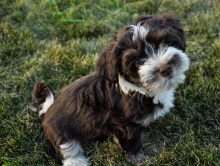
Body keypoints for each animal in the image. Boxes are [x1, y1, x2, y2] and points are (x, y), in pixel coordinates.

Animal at [30, 14, 190, 165]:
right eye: (137, 61)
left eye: (164, 43)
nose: (165, 68)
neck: (139, 88)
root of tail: (47, 112)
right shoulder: (124, 123)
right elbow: (132, 142)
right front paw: (138, 159)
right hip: (61, 132)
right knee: (66, 148)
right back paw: (76, 161)